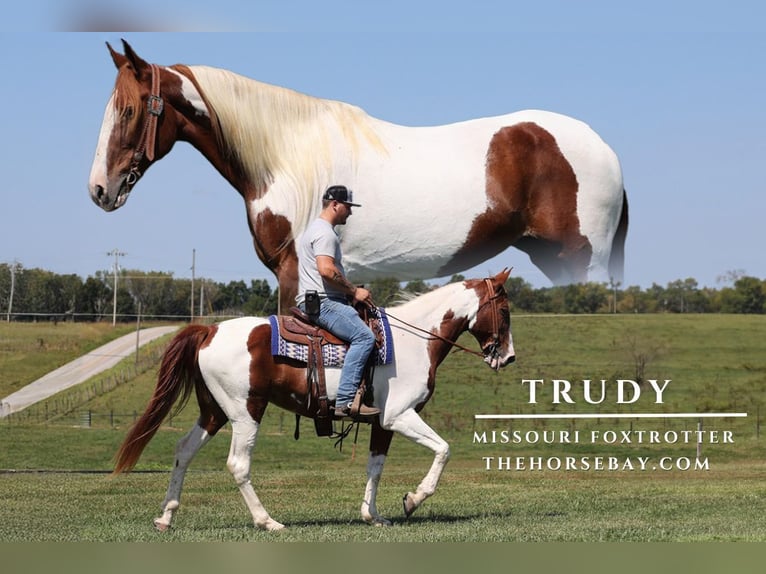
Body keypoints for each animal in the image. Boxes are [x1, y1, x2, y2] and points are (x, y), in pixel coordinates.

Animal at [90, 41, 632, 312]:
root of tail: (606, 150)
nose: (99, 189)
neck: (286, 156)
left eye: (130, 110)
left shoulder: (293, 274)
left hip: (578, 259)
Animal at [111, 270, 516, 532]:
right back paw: (267, 521)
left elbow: (375, 467)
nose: (508, 357)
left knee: (183, 451)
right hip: (245, 412)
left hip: (213, 412)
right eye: (505, 311)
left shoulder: (381, 423)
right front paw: (413, 500)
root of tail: (209, 329)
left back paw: (166, 517)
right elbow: (443, 450)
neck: (413, 341)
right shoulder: (399, 416)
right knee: (238, 464)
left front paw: (372, 516)